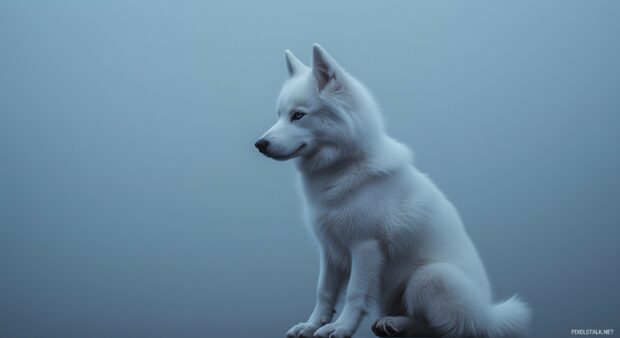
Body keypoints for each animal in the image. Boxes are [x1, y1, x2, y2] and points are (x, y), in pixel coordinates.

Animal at [254, 45, 532, 338]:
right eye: (279, 115)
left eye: (298, 115)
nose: (259, 144)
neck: (343, 168)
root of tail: (490, 316)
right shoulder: (330, 251)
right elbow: (324, 292)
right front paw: (311, 325)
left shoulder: (365, 247)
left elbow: (354, 294)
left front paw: (340, 327)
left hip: (429, 278)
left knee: (440, 327)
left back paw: (396, 324)